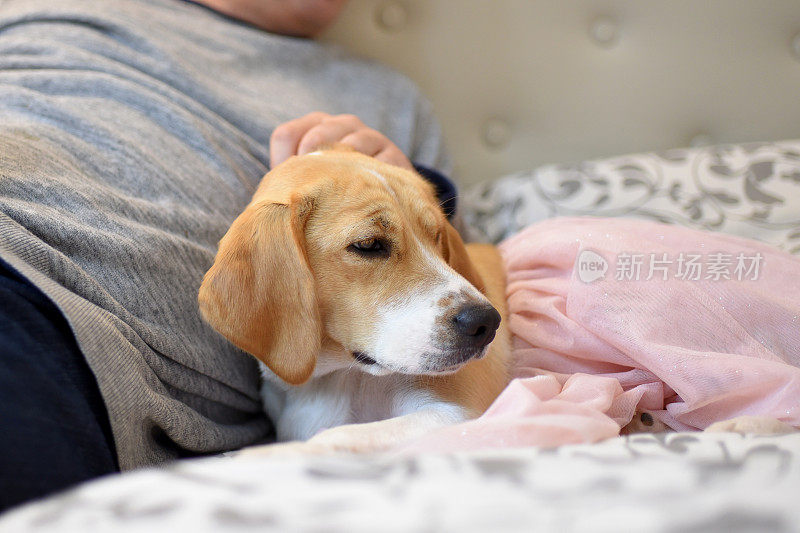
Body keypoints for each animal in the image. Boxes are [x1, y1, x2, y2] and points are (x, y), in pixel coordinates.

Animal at [200, 145, 512, 454]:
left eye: (436, 234)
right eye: (368, 244)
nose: (486, 323)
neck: (335, 378)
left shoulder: (458, 415)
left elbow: (329, 438)